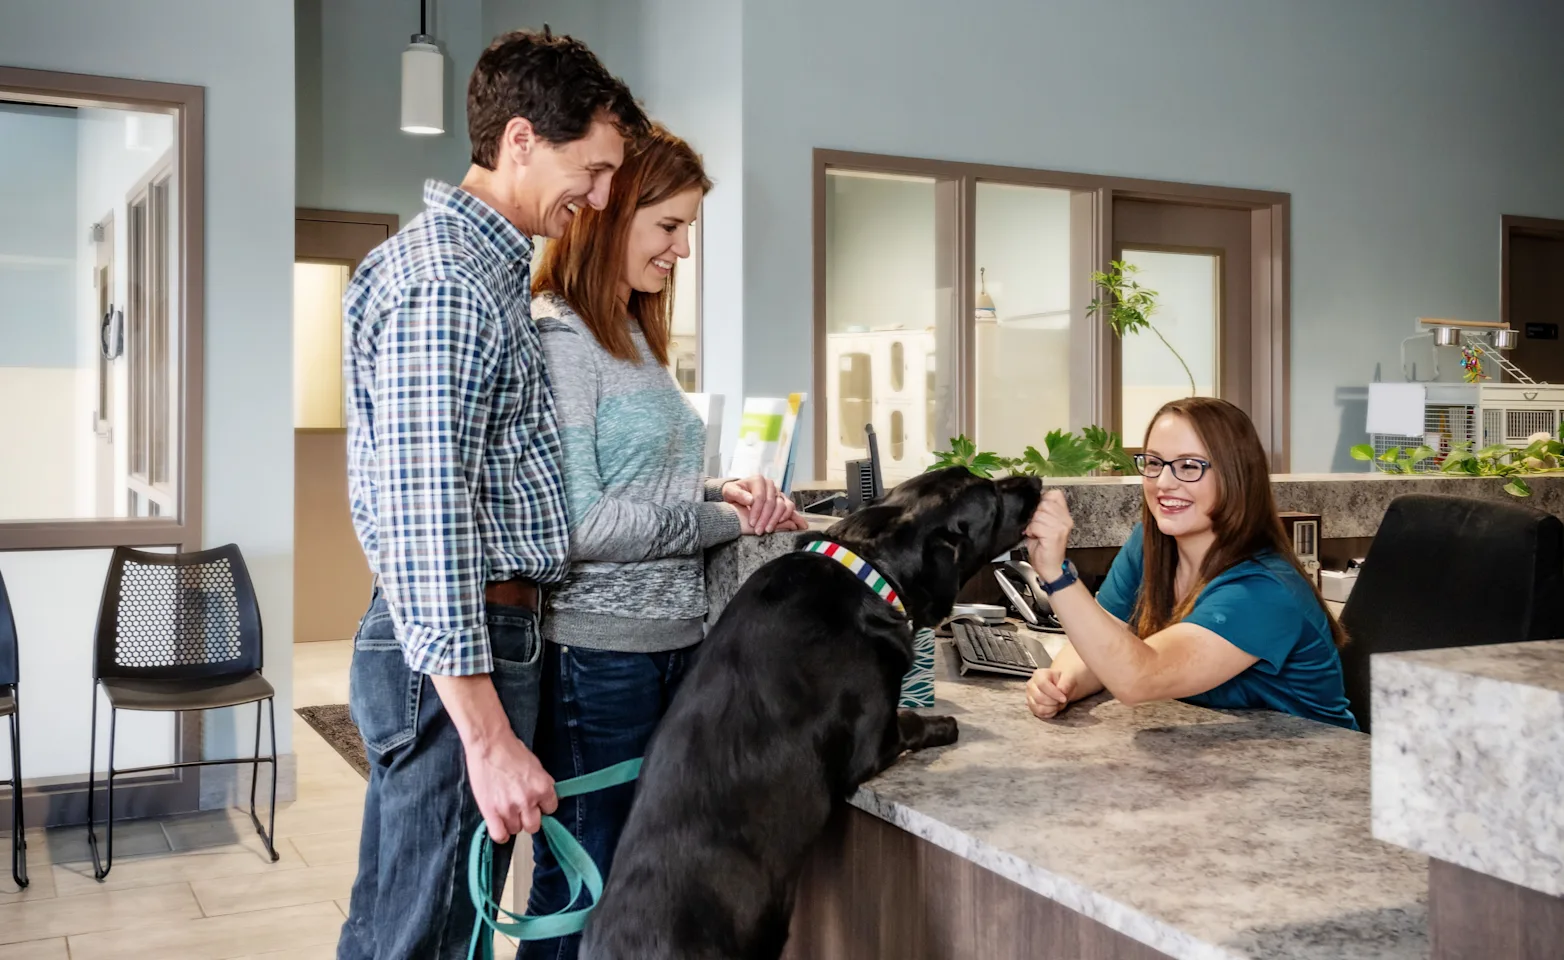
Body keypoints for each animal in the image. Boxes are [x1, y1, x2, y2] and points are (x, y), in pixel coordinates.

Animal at [581, 469, 1044, 960]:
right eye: (992, 496)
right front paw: (946, 724)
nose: (1036, 479)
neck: (867, 568)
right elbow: (913, 721)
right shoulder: (871, 743)